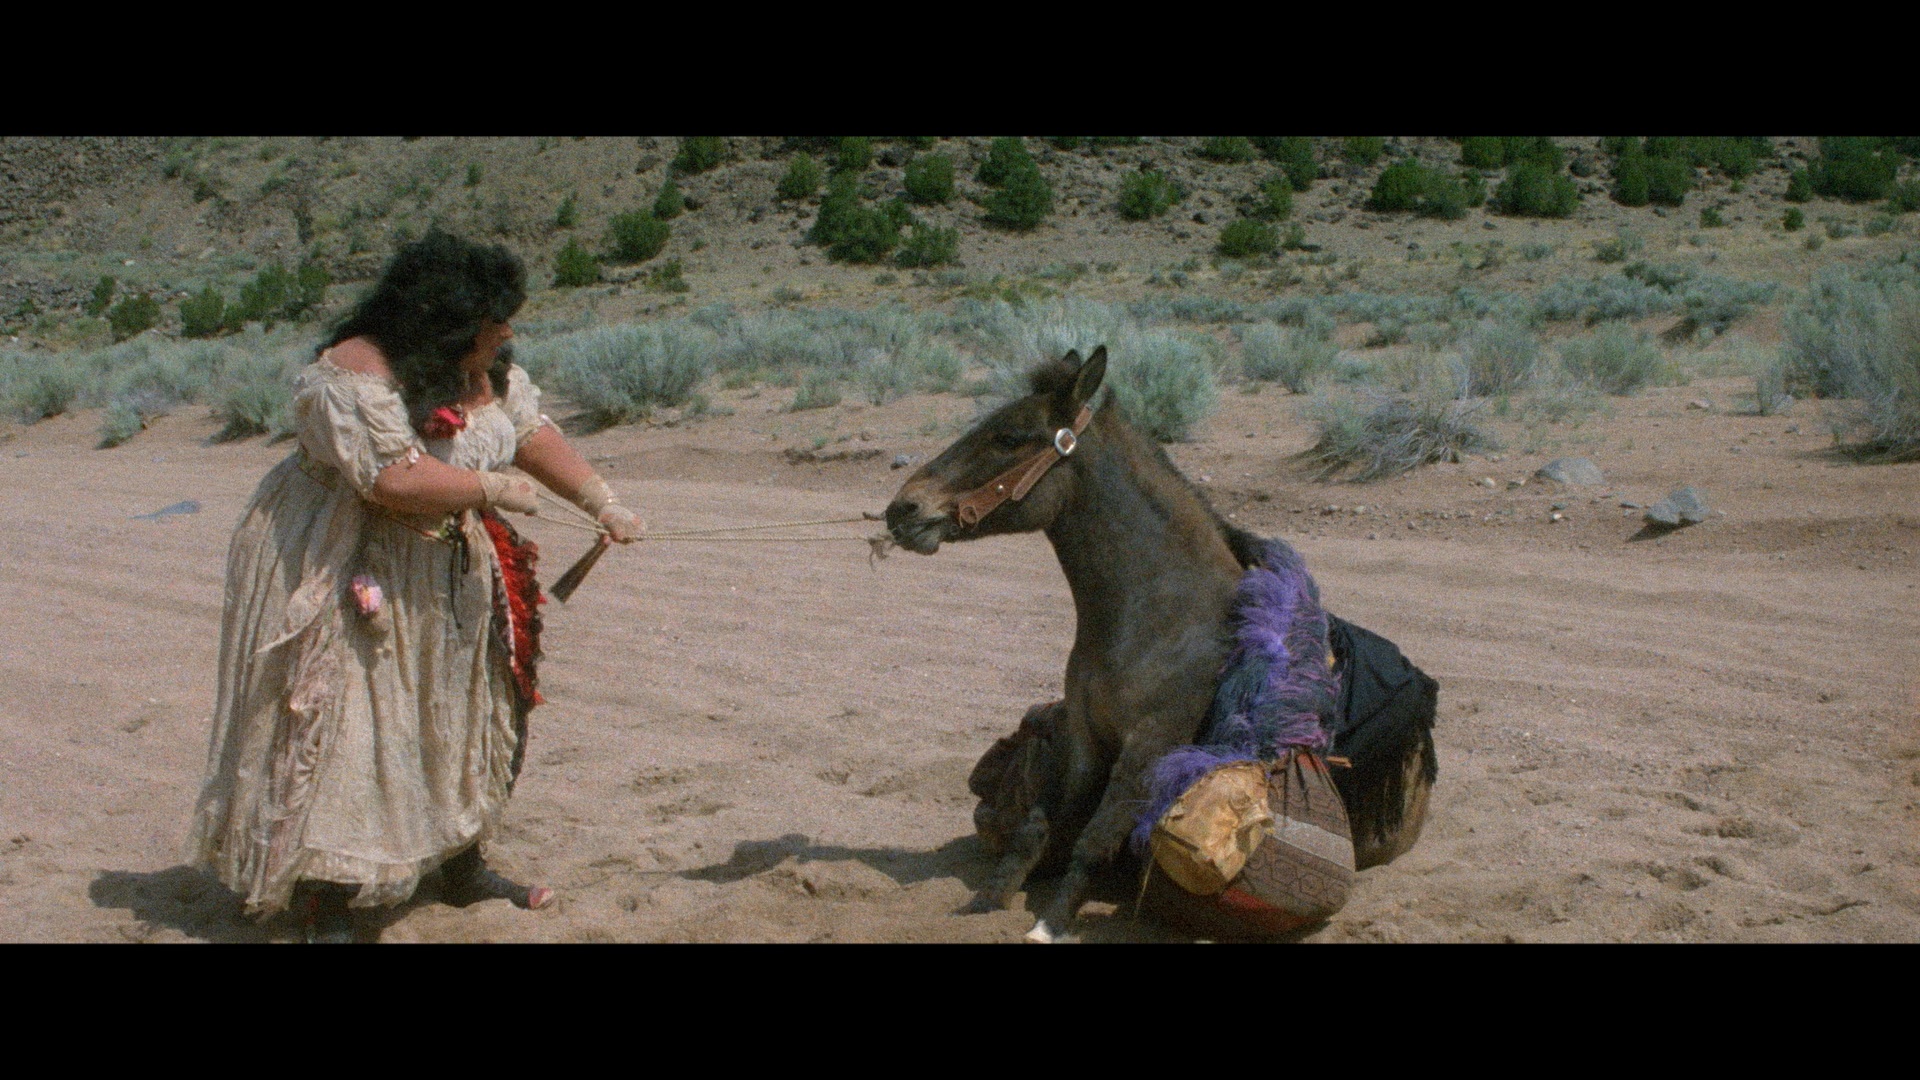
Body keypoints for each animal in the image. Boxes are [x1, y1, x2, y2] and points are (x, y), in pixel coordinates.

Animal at [885, 346, 1435, 942]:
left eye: (1010, 437)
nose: (903, 509)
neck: (1158, 620)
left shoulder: (1147, 747)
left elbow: (1094, 839)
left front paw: (1048, 925)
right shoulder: (1083, 739)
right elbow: (1039, 825)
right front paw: (985, 903)